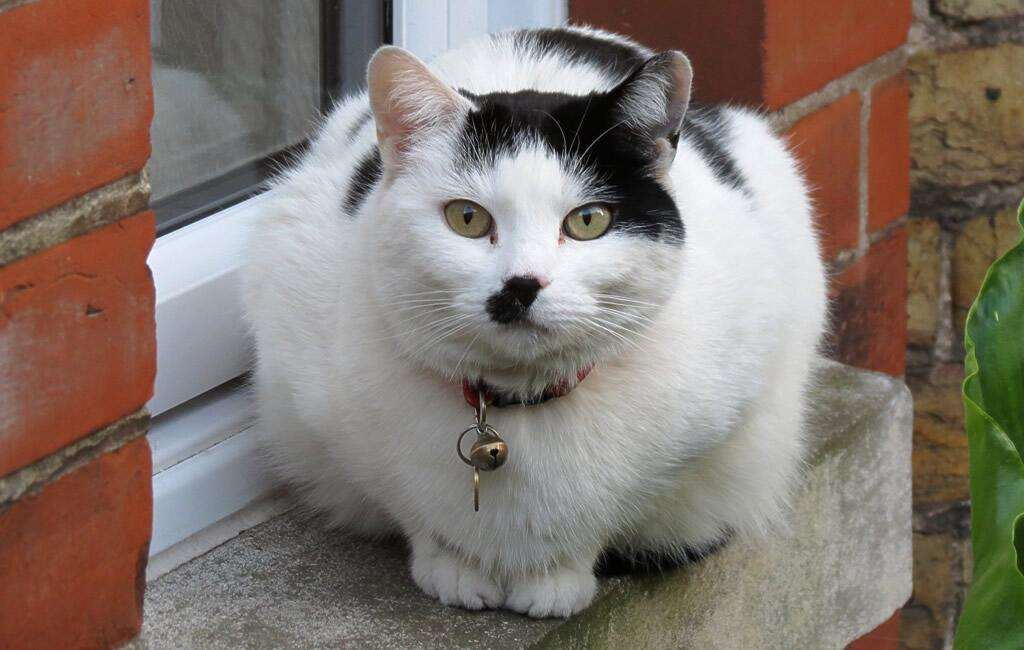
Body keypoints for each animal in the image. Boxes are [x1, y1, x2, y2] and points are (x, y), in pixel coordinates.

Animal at [243, 26, 827, 622]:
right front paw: (453, 568)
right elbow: (410, 505)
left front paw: (555, 580)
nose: (522, 284)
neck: (516, 407)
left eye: (588, 220)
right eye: (467, 218)